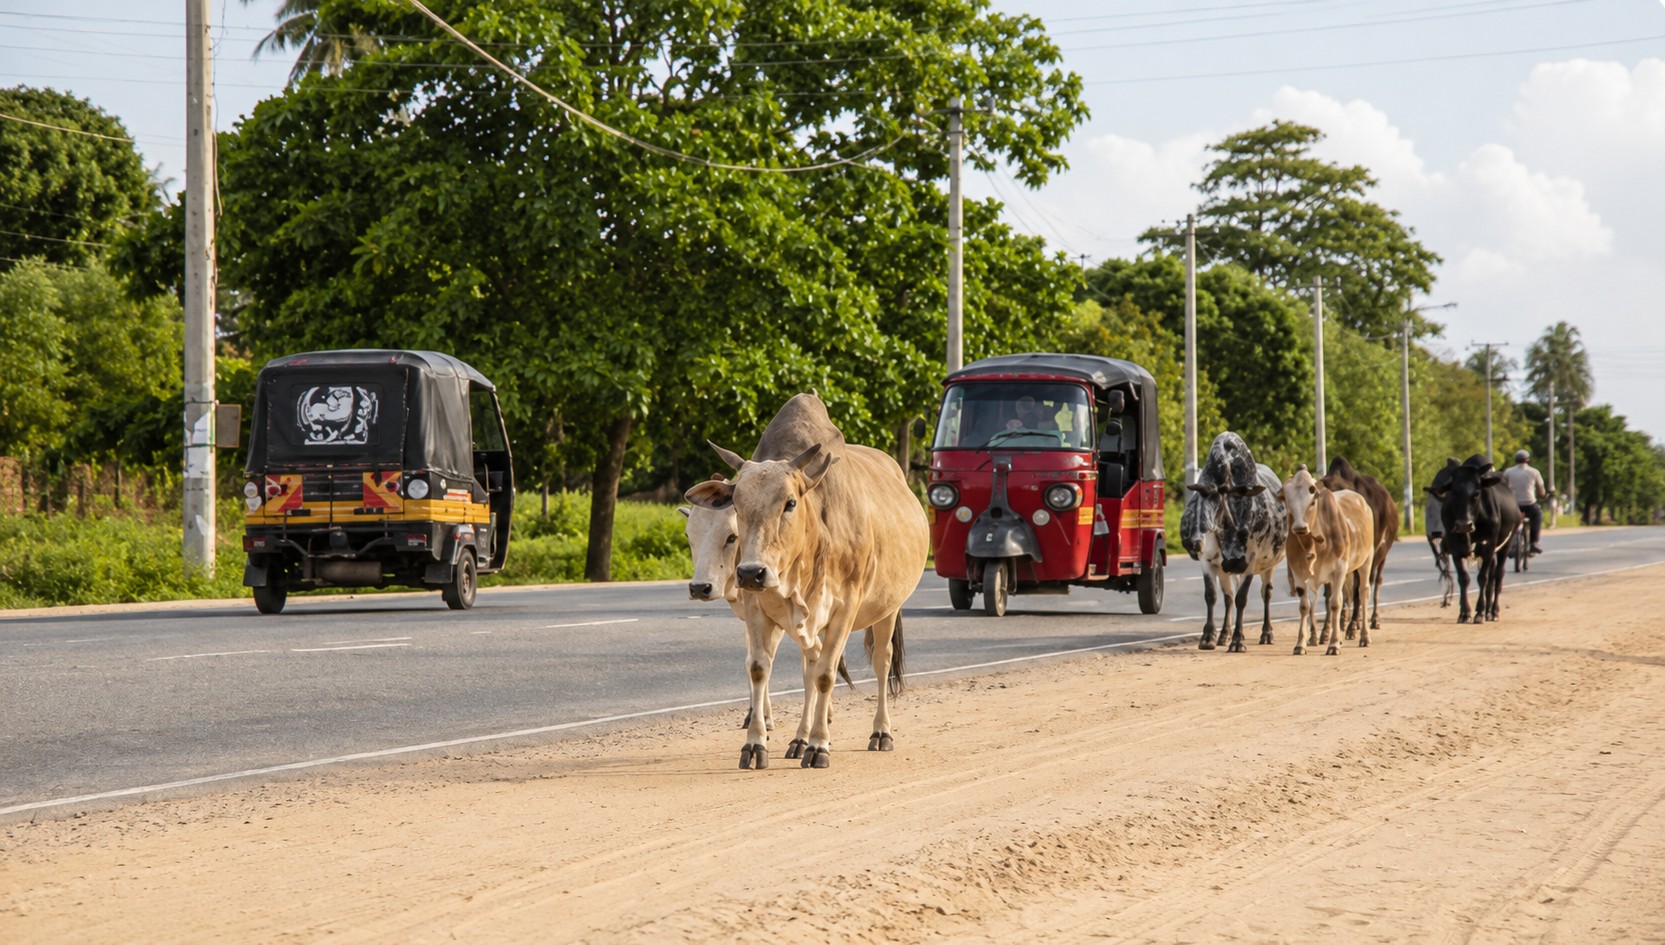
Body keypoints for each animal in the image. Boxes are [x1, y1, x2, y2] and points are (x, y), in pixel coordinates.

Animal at [686, 393, 928, 770]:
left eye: (790, 502)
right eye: (737, 505)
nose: (751, 572)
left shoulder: (845, 609)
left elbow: (827, 675)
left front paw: (819, 746)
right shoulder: (758, 608)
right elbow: (760, 667)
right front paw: (756, 744)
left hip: (888, 609)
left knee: (881, 661)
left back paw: (880, 732)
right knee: (810, 667)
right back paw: (800, 738)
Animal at [1180, 432, 1287, 652]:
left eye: (1221, 498)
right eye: (1199, 498)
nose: (1195, 542)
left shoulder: (1250, 561)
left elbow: (1241, 599)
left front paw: (1238, 640)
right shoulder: (1208, 562)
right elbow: (1212, 595)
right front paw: (1208, 637)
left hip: (1269, 565)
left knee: (1266, 593)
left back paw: (1266, 633)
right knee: (1228, 595)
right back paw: (1223, 635)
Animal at [1279, 465, 1376, 656]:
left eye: (1312, 501)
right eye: (1287, 500)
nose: (1300, 528)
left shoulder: (1340, 568)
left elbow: (1335, 604)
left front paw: (1333, 645)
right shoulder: (1298, 571)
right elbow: (1305, 607)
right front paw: (1300, 644)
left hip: (1366, 560)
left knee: (1362, 593)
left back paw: (1365, 637)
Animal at [1319, 457, 1399, 635]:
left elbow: (1357, 590)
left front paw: (1352, 626)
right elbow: (1330, 592)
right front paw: (1326, 631)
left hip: (1381, 554)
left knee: (1375, 582)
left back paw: (1372, 619)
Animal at [1430, 454, 1522, 624]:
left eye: (1477, 493)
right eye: (1454, 493)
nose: (1464, 525)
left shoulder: (1488, 546)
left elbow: (1482, 578)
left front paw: (1479, 613)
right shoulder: (1456, 549)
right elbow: (1464, 579)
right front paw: (1465, 613)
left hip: (1506, 545)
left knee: (1497, 576)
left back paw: (1493, 611)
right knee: (1491, 578)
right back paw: (1488, 612)